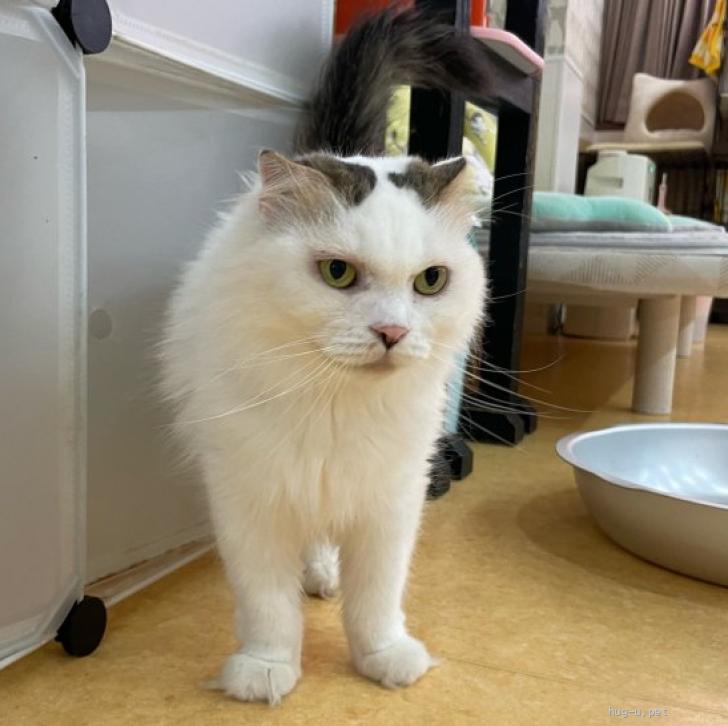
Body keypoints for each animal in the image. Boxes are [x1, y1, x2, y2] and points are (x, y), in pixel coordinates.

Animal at [159, 7, 490, 704]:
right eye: (337, 273)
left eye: (430, 282)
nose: (391, 332)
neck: (337, 406)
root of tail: (346, 151)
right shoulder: (250, 497)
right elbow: (267, 604)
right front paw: (265, 668)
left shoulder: (392, 499)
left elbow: (378, 597)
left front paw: (383, 656)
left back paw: (325, 575)